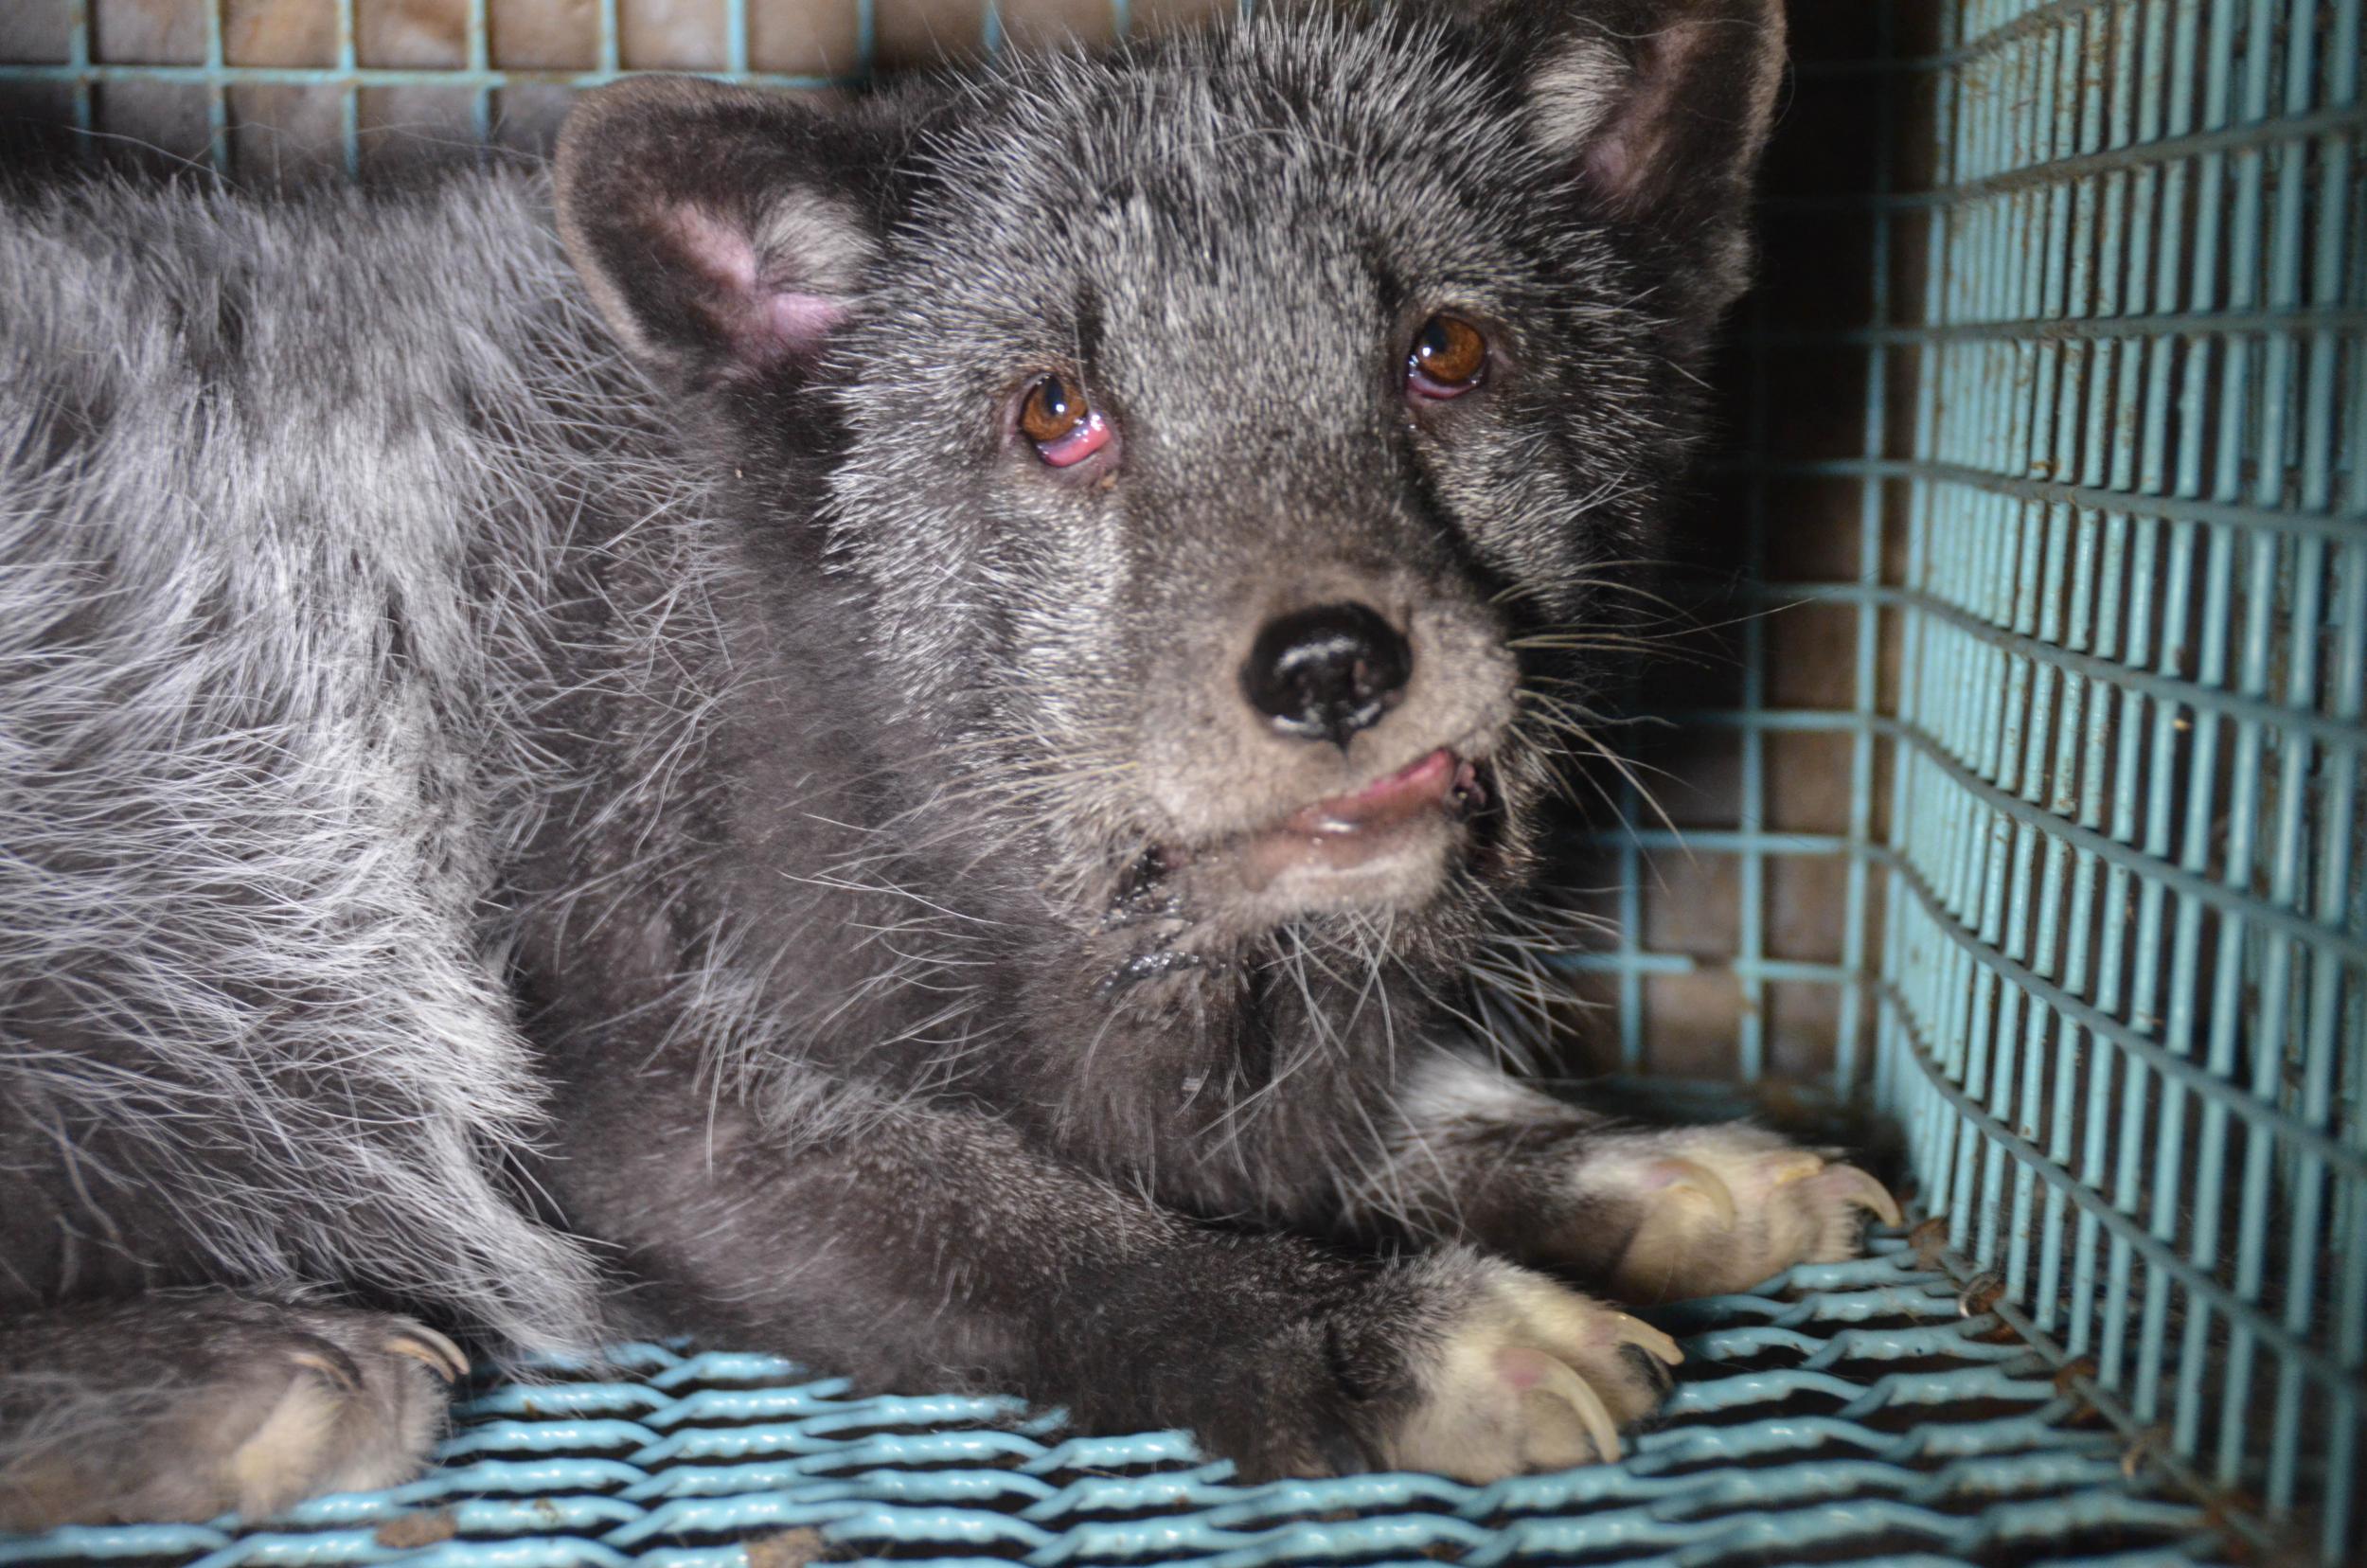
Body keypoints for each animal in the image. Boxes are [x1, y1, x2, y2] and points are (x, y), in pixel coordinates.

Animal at [0, 0, 1894, 1524]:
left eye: (1448, 350)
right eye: (1054, 410)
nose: (1333, 667)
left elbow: (1353, 1120)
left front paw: (1627, 1164)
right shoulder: (631, 1101)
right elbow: (1039, 1228)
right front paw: (1384, 1335)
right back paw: (255, 1386)